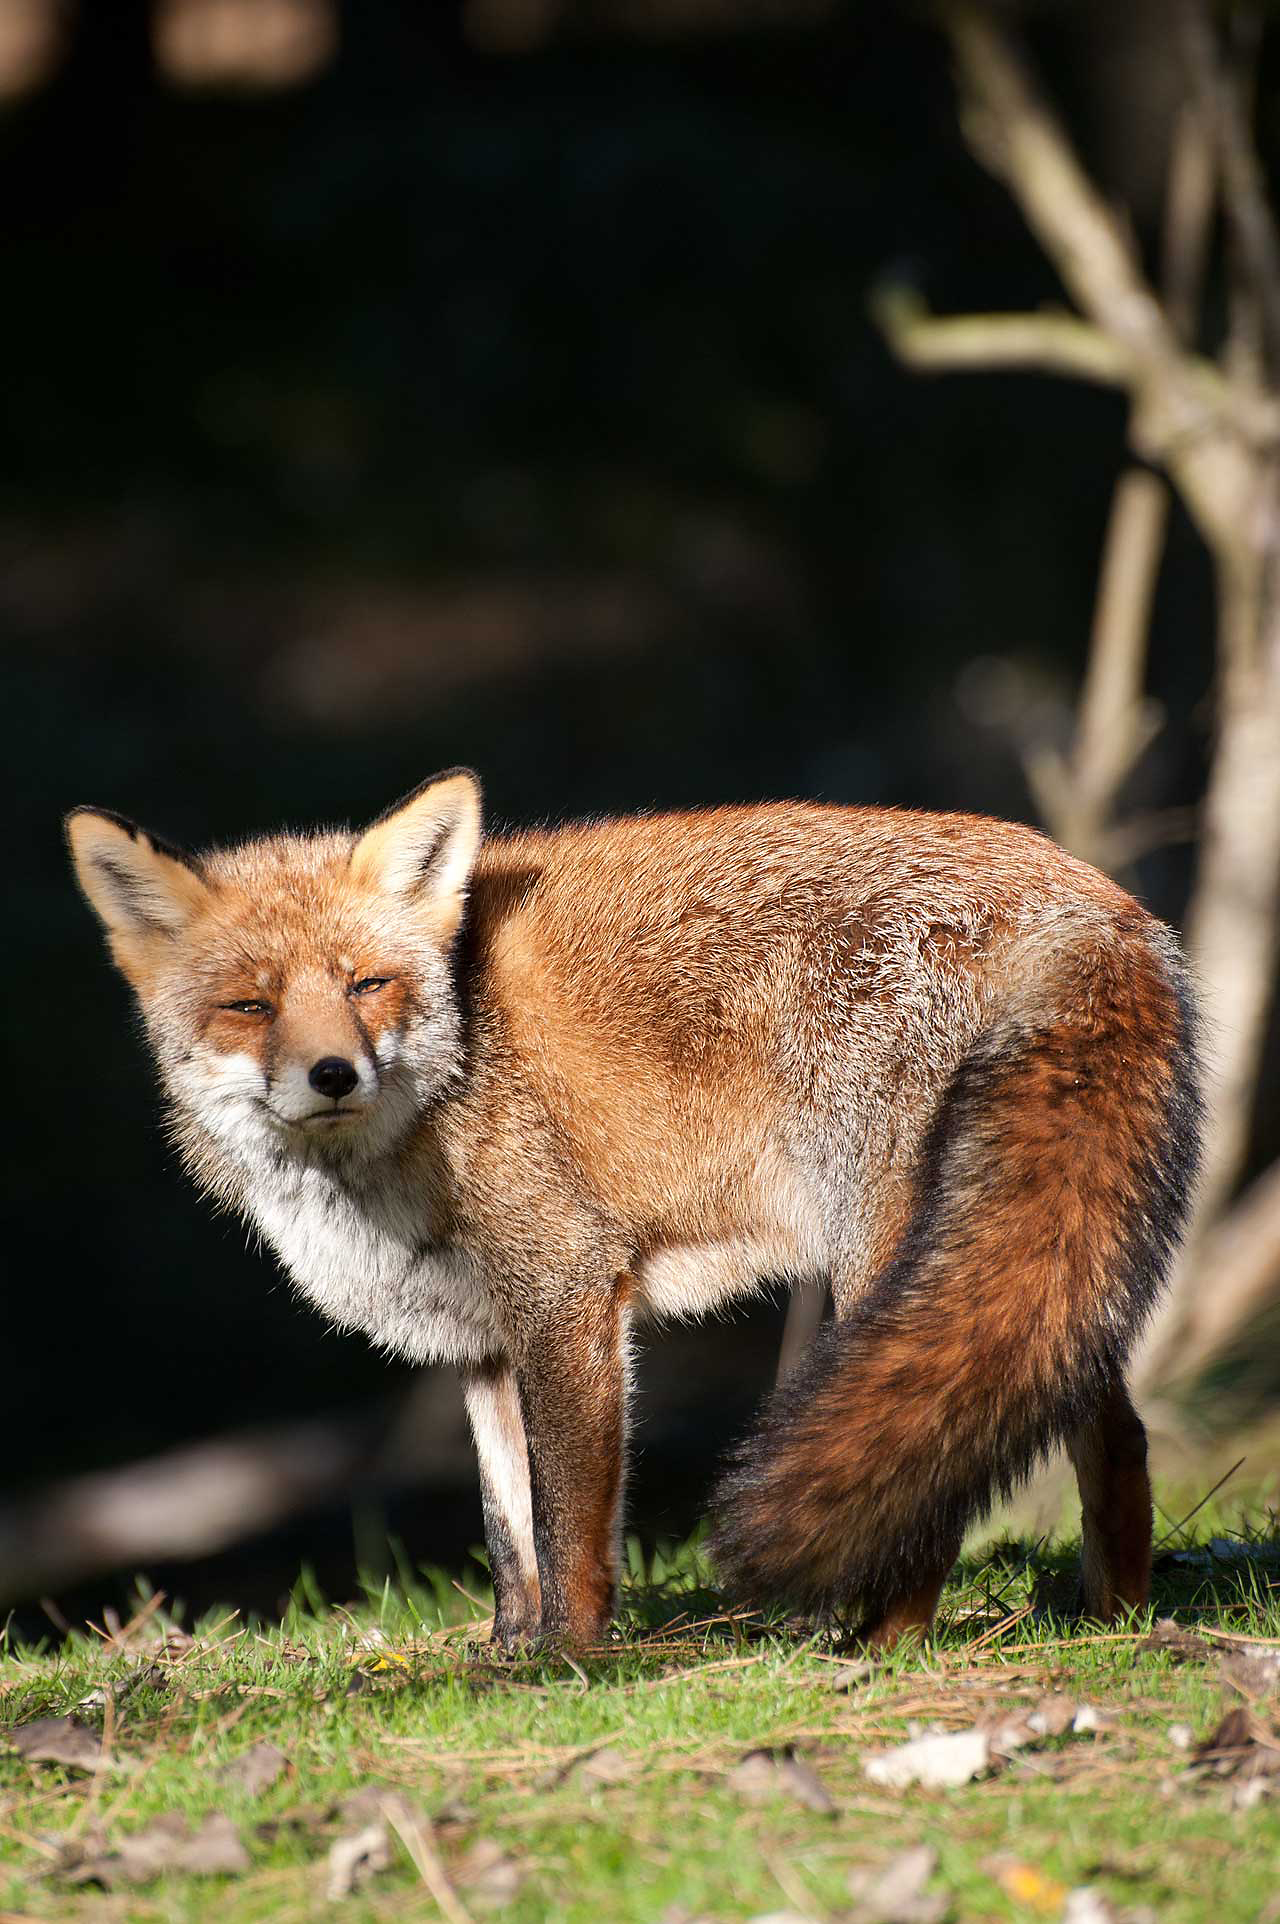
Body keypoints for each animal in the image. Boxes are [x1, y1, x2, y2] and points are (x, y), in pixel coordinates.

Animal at [66, 770, 1201, 1651]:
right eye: (249, 1006)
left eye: (367, 984)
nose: (334, 1075)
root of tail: (1086, 896)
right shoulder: (482, 1341)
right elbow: (507, 1527)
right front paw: (504, 1656)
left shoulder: (567, 1296)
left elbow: (569, 1524)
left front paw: (571, 1660)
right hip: (1021, 1258)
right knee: (1106, 1430)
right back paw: (1115, 1618)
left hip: (886, 1260)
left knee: (945, 1468)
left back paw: (884, 1643)